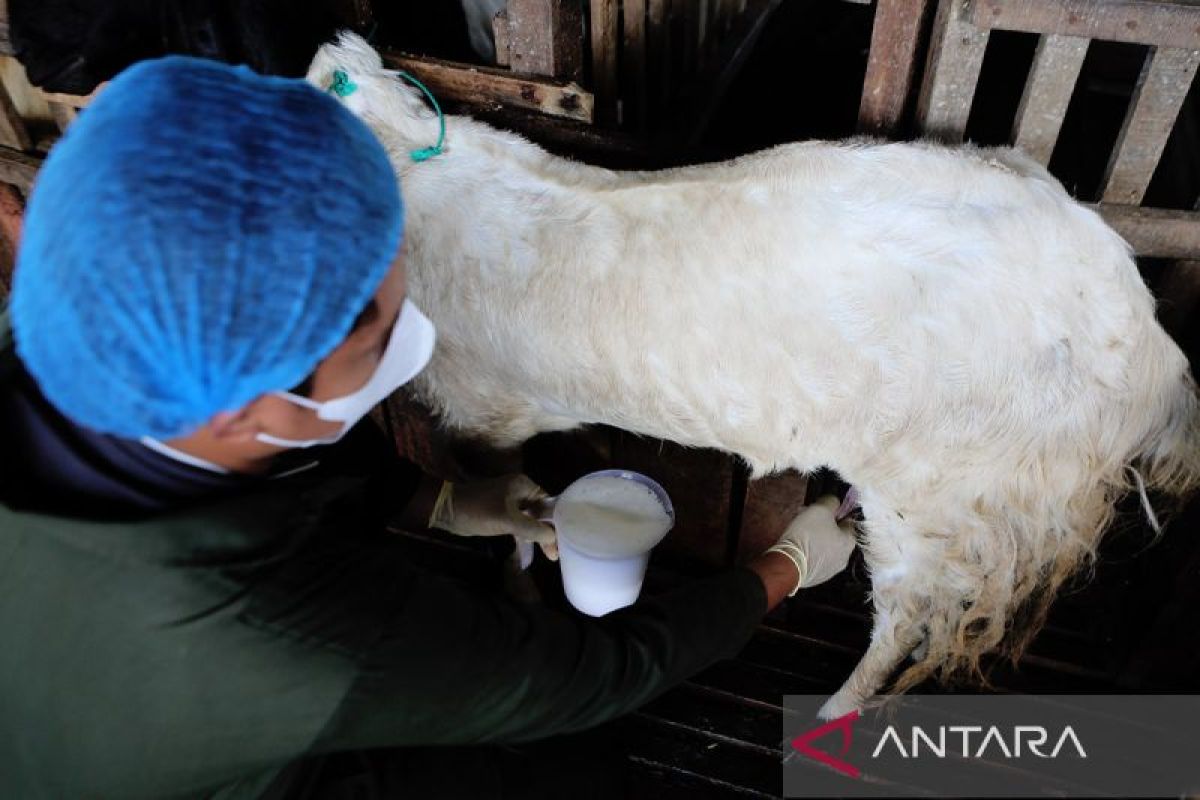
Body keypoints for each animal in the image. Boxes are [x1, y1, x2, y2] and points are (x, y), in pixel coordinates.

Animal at [309, 34, 1200, 714]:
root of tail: (1149, 339)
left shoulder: (485, 404)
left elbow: (499, 488)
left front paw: (516, 570)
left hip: (951, 492)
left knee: (911, 618)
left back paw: (839, 708)